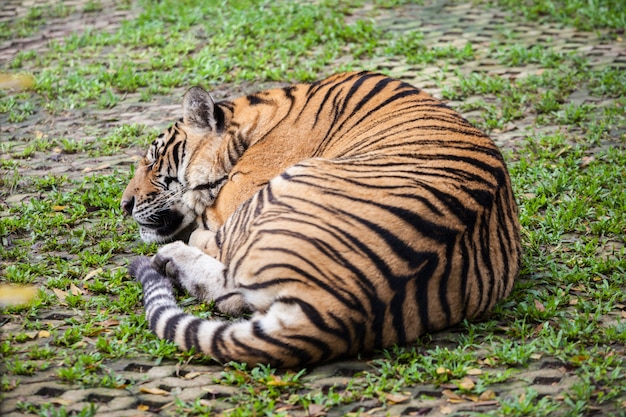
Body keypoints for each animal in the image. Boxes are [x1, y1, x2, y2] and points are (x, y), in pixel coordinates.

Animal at [123, 71, 520, 368]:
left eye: (154, 160)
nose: (125, 205)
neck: (254, 121)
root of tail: (339, 309)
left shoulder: (235, 198)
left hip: (284, 186)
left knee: (220, 265)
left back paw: (169, 259)